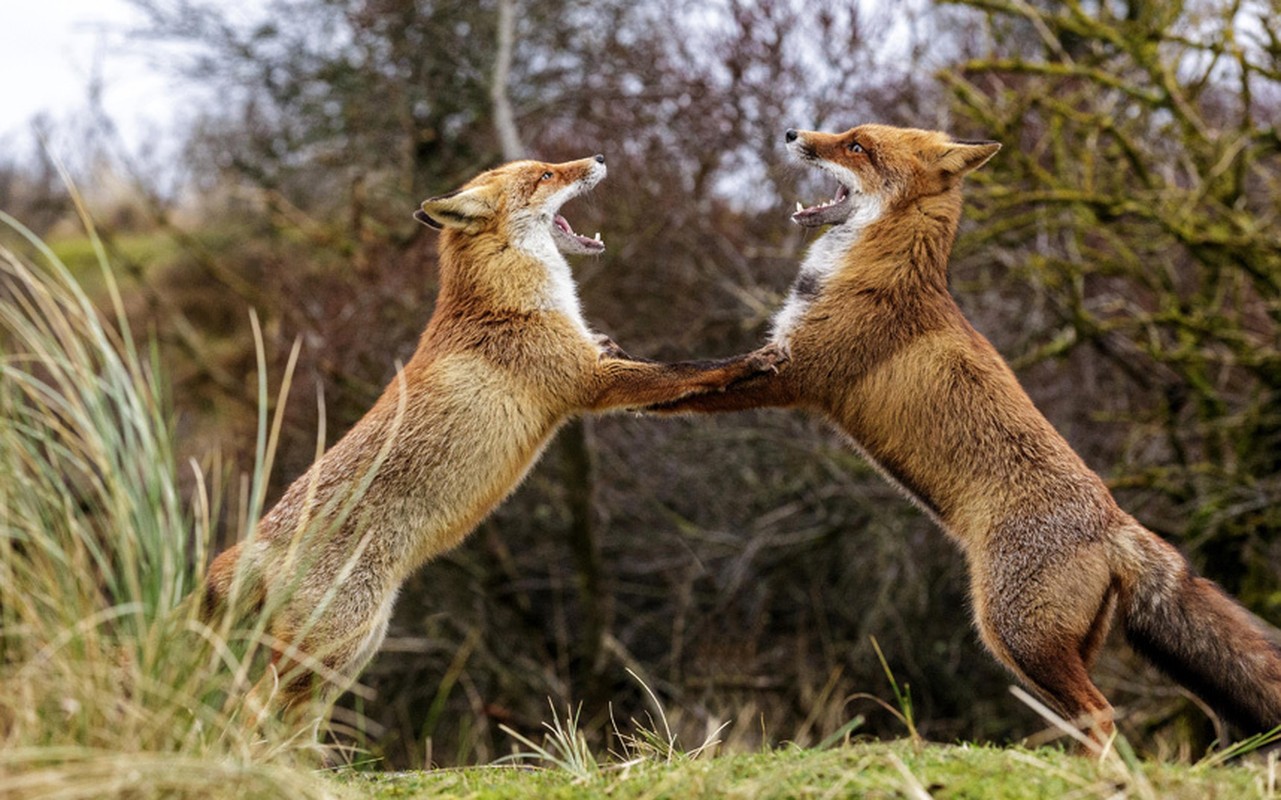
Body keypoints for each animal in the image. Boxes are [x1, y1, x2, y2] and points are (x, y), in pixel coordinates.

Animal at [202, 154, 778, 716]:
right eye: (545, 174)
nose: (599, 157)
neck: (507, 298)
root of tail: (257, 540)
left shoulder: (599, 369)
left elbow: (666, 381)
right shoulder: (590, 382)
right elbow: (688, 368)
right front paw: (748, 361)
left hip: (350, 657)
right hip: (329, 651)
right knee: (248, 707)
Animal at [650, 124, 1281, 747]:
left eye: (856, 146)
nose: (791, 132)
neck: (875, 265)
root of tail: (1115, 522)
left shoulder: (797, 373)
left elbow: (688, 377)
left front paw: (635, 384)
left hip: (1011, 633)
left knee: (1101, 713)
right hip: (1060, 645)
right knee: (1089, 715)